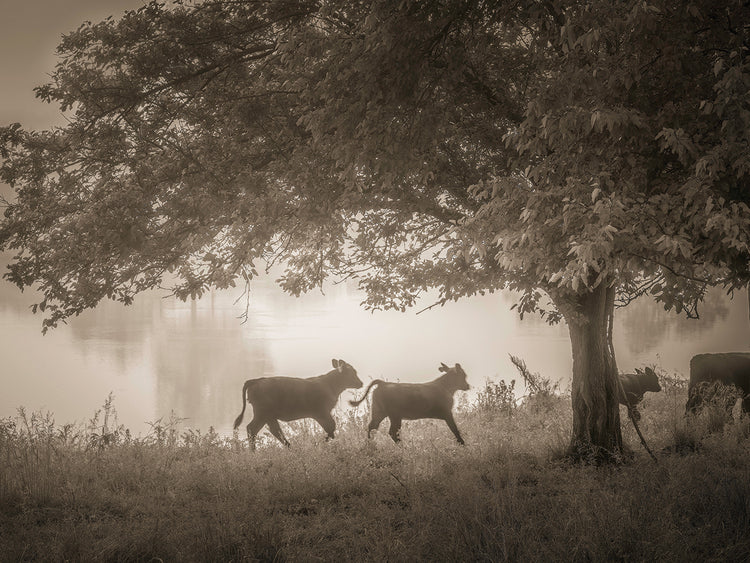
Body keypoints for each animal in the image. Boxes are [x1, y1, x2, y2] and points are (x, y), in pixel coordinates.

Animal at [233, 358, 363, 450]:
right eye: (351, 373)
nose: (361, 383)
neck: (330, 385)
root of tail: (257, 380)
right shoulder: (321, 412)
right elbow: (331, 426)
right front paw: (321, 443)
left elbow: (330, 427)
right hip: (262, 413)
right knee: (252, 429)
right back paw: (254, 452)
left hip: (268, 416)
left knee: (275, 430)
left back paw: (290, 447)